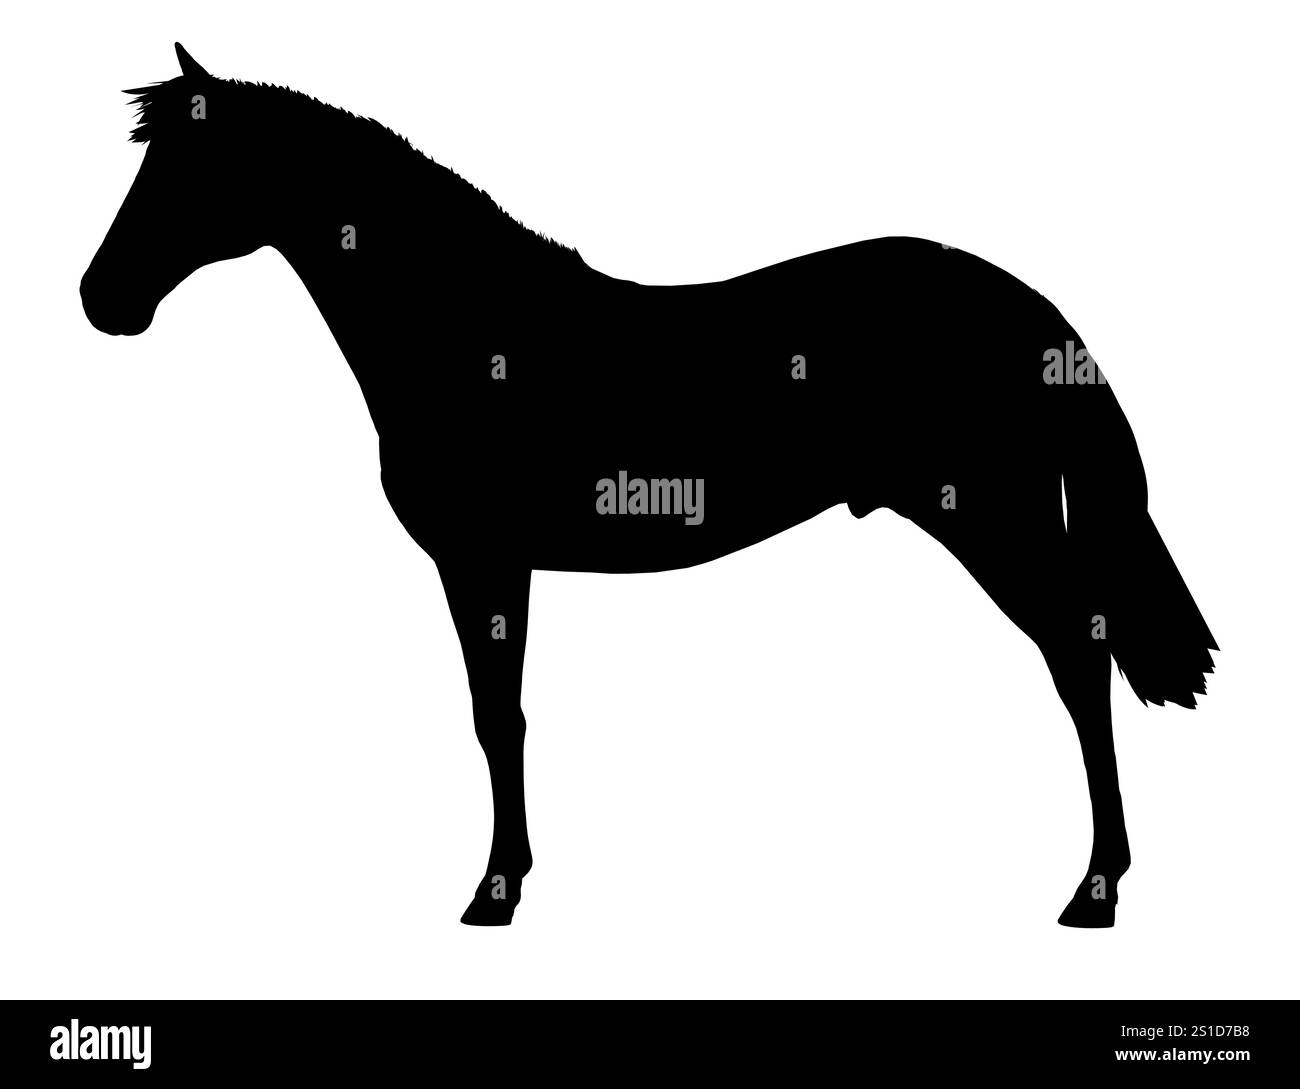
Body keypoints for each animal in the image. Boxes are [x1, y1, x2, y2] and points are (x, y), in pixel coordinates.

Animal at [81, 44, 1216, 927]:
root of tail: (1027, 310)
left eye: (188, 169)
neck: (466, 329)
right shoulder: (496, 564)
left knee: (1079, 661)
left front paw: (495, 892)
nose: (101, 299)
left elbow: (497, 715)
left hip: (995, 521)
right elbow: (500, 715)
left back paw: (1095, 892)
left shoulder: (482, 560)